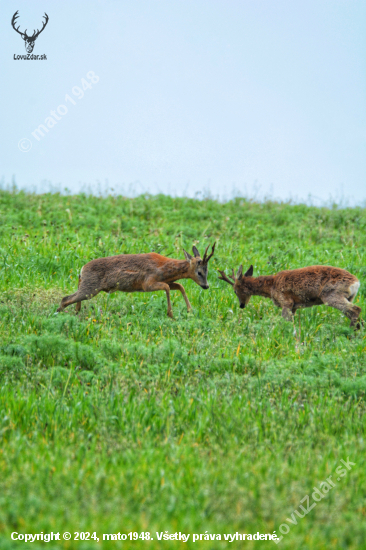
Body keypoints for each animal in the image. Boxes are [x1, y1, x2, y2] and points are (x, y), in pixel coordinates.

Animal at [56, 245, 214, 320]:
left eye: (207, 271)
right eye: (199, 272)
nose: (206, 286)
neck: (164, 268)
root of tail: (81, 270)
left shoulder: (167, 281)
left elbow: (180, 286)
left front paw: (190, 311)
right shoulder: (147, 284)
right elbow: (167, 288)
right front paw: (170, 314)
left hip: (87, 288)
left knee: (72, 302)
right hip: (90, 288)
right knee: (65, 299)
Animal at [219, 266, 362, 330]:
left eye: (235, 290)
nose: (241, 305)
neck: (271, 286)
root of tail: (356, 283)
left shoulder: (286, 302)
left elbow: (285, 321)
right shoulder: (294, 306)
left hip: (331, 295)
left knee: (356, 309)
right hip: (349, 297)